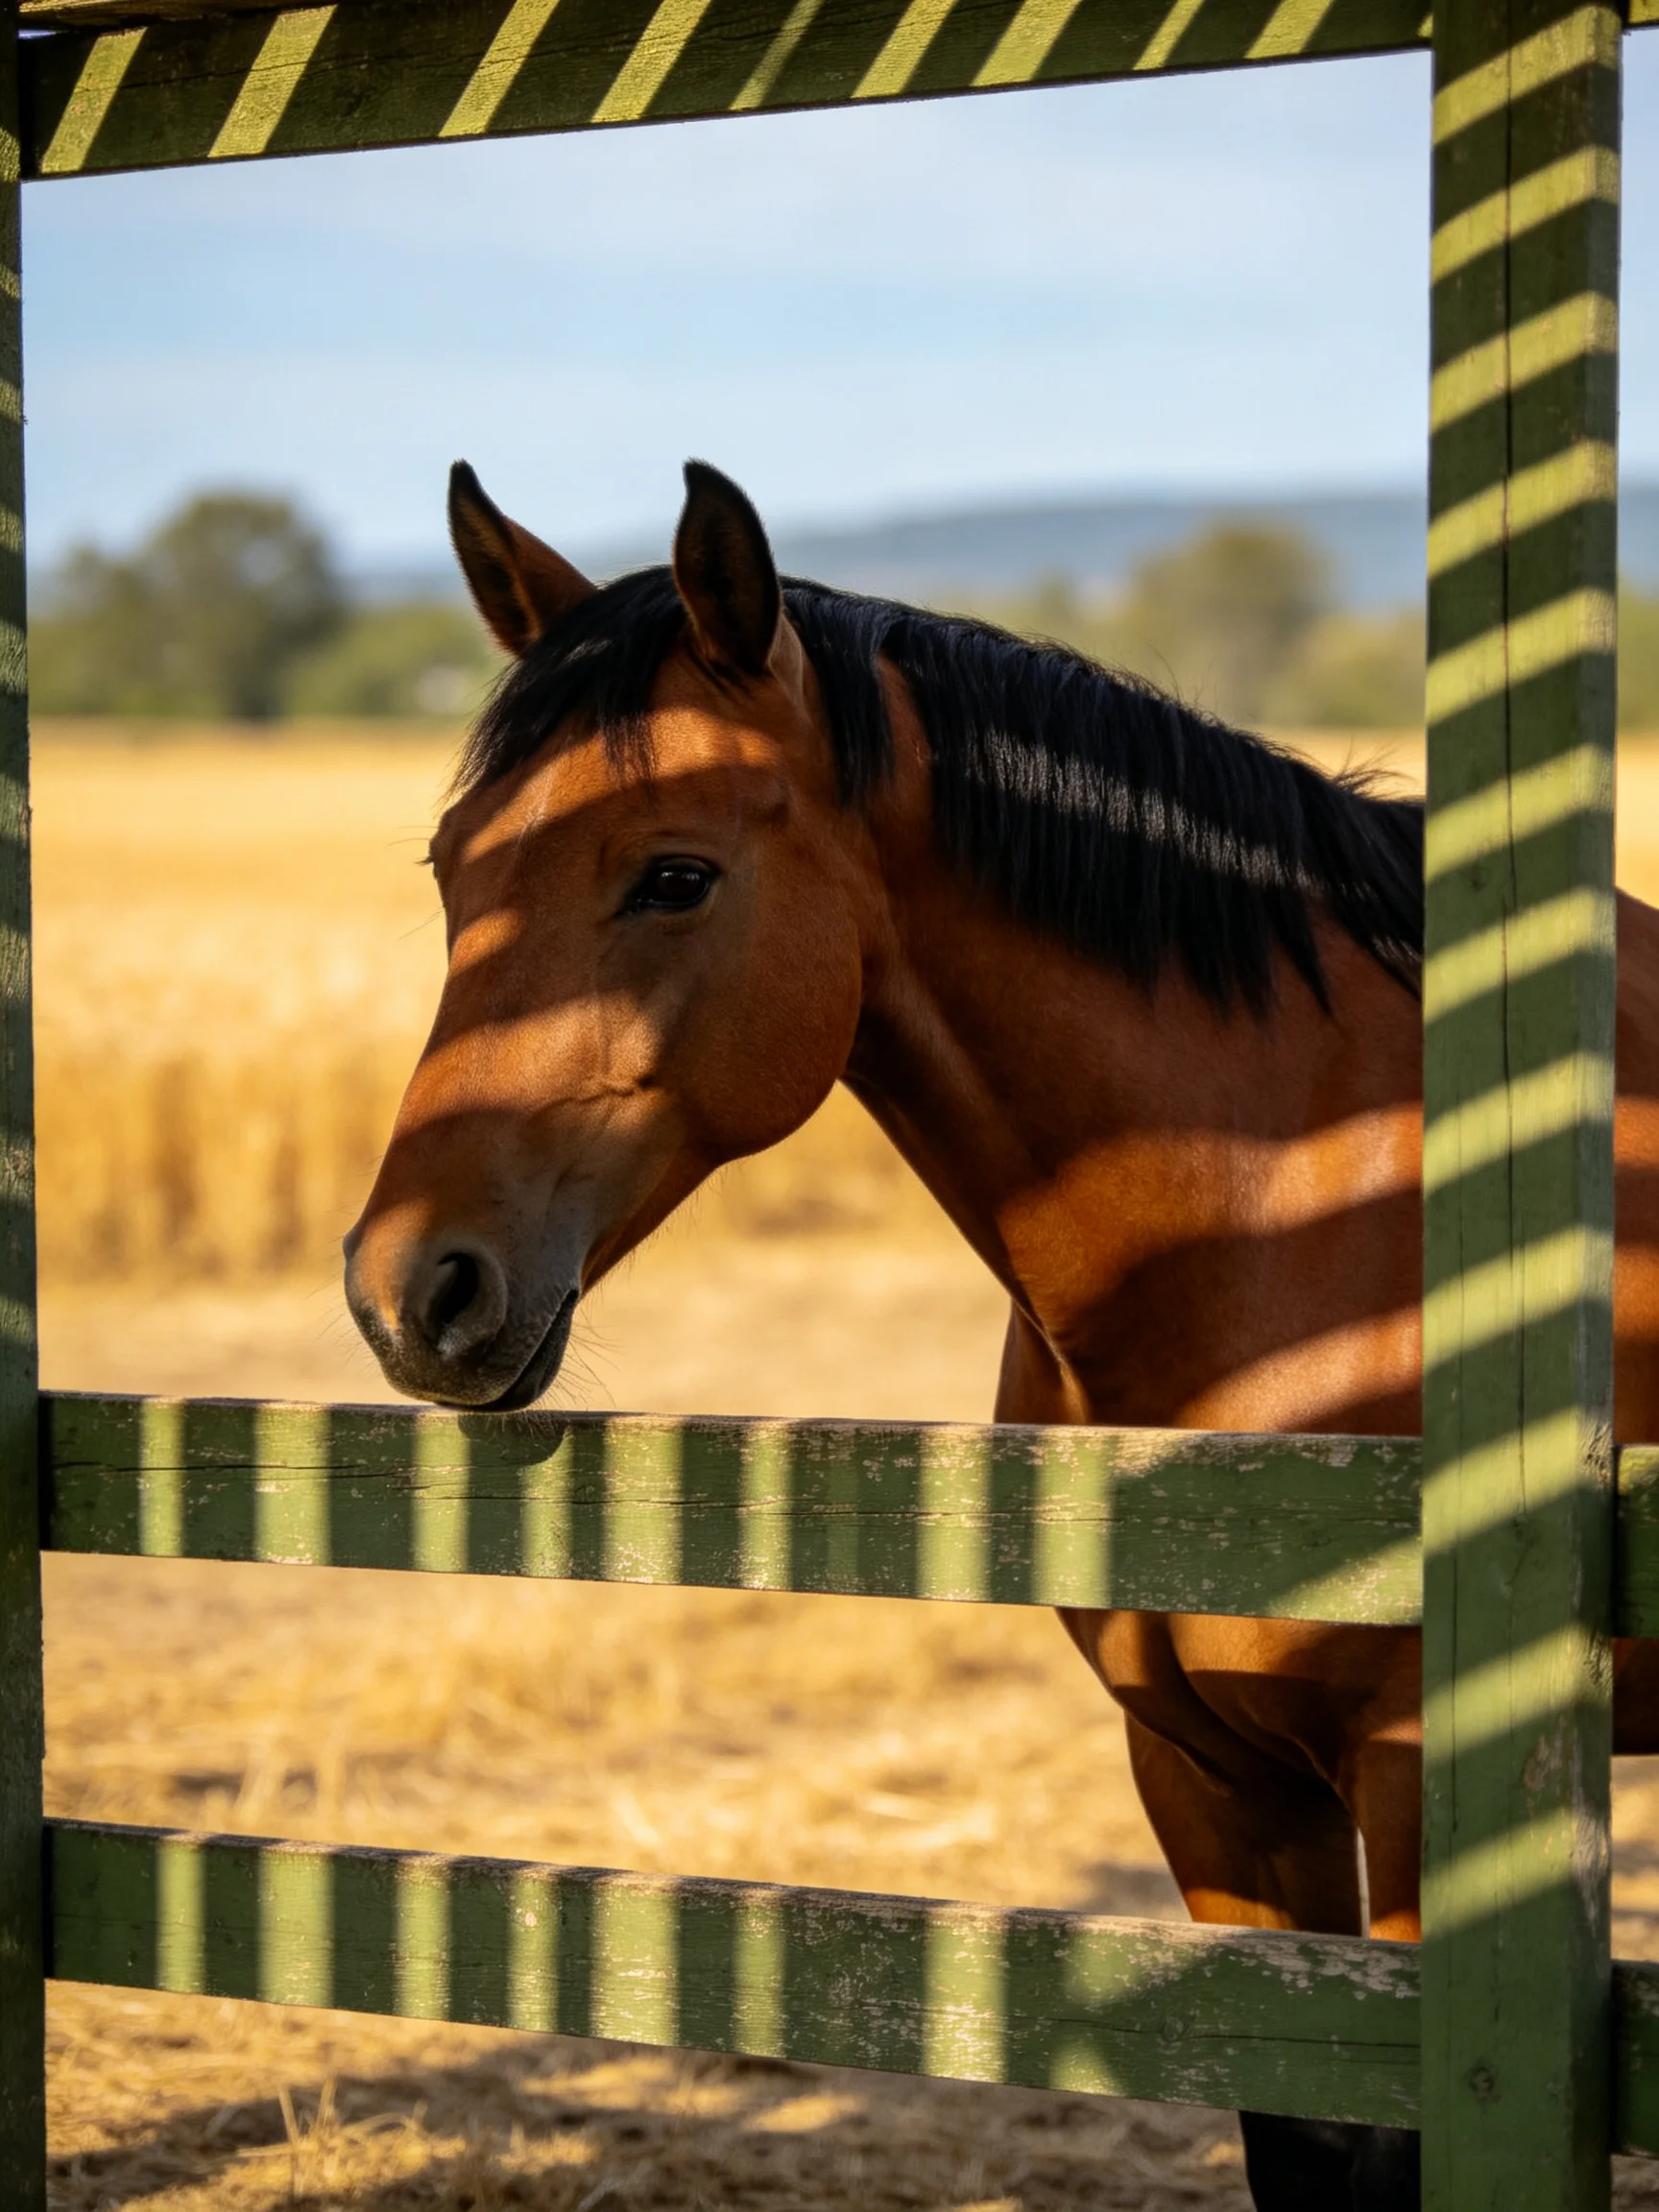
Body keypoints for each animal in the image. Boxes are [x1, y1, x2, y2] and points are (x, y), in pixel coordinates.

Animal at [344, 457, 1659, 2212]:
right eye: (448, 868)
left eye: (673, 872)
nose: (410, 1288)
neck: (1293, 1197)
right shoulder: (1213, 1785)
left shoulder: (1419, 1789)